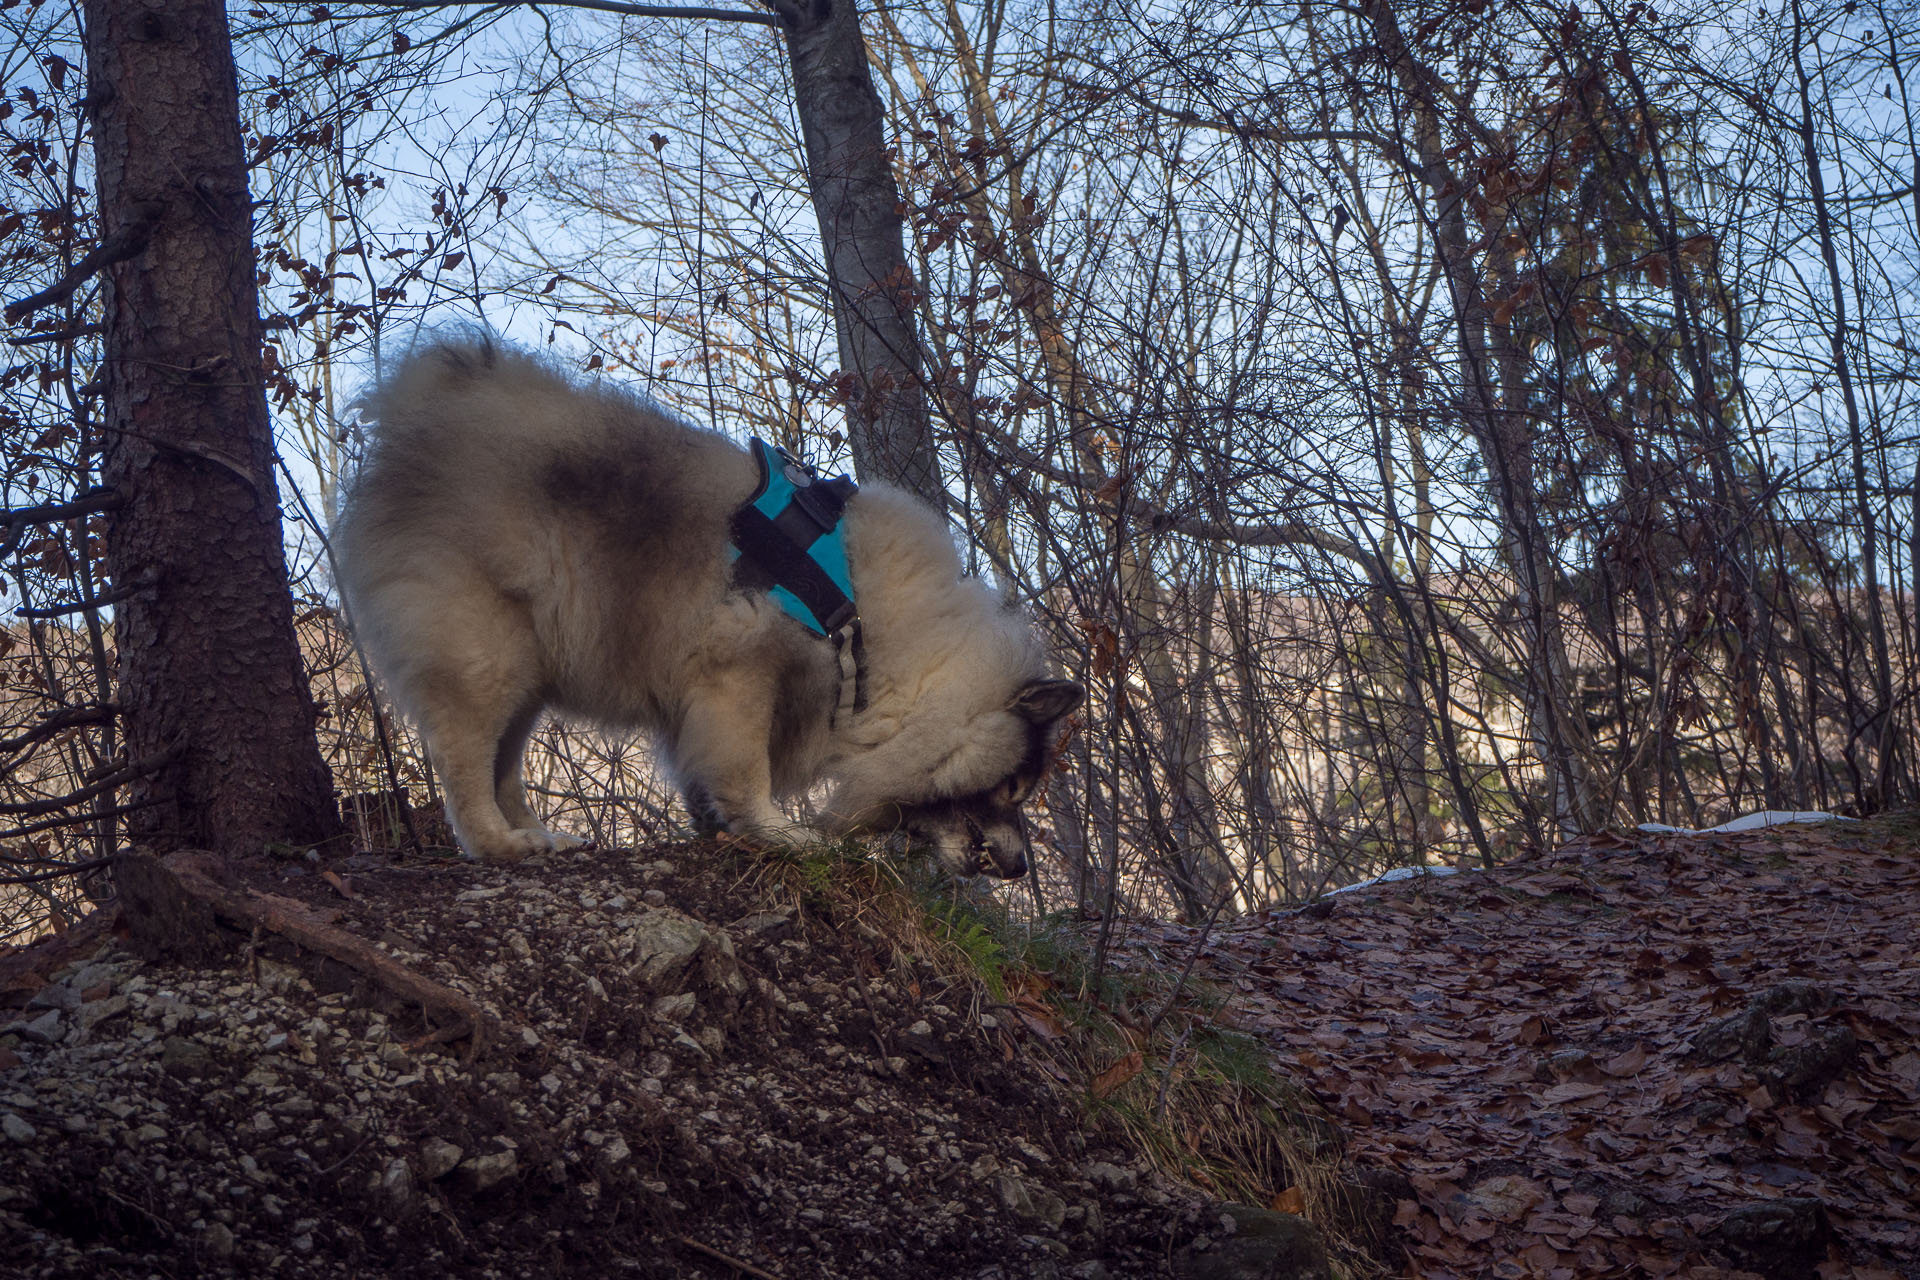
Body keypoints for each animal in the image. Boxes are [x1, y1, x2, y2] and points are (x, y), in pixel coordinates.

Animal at [330, 339, 1082, 882]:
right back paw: (496, 844)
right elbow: (745, 771)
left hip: (529, 670)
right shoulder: (738, 676)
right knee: (464, 760)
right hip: (486, 652)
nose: (1021, 869)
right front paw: (780, 834)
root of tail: (419, 410)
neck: (878, 636)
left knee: (503, 763)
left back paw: (537, 834)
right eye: (1016, 789)